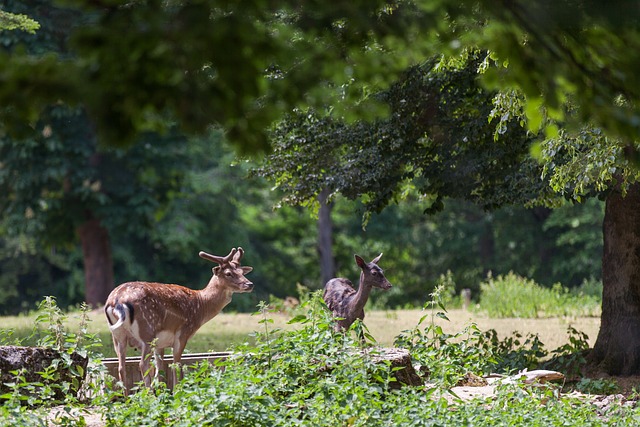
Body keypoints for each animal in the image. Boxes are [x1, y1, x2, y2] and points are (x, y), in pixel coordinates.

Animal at [104, 247, 252, 392]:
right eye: (228, 273)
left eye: (241, 272)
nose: (249, 284)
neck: (200, 306)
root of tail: (117, 301)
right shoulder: (183, 333)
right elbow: (176, 364)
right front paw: (176, 391)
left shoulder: (160, 343)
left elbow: (159, 368)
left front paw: (162, 392)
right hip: (147, 332)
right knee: (142, 364)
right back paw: (148, 394)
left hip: (118, 336)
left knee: (121, 366)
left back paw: (126, 396)